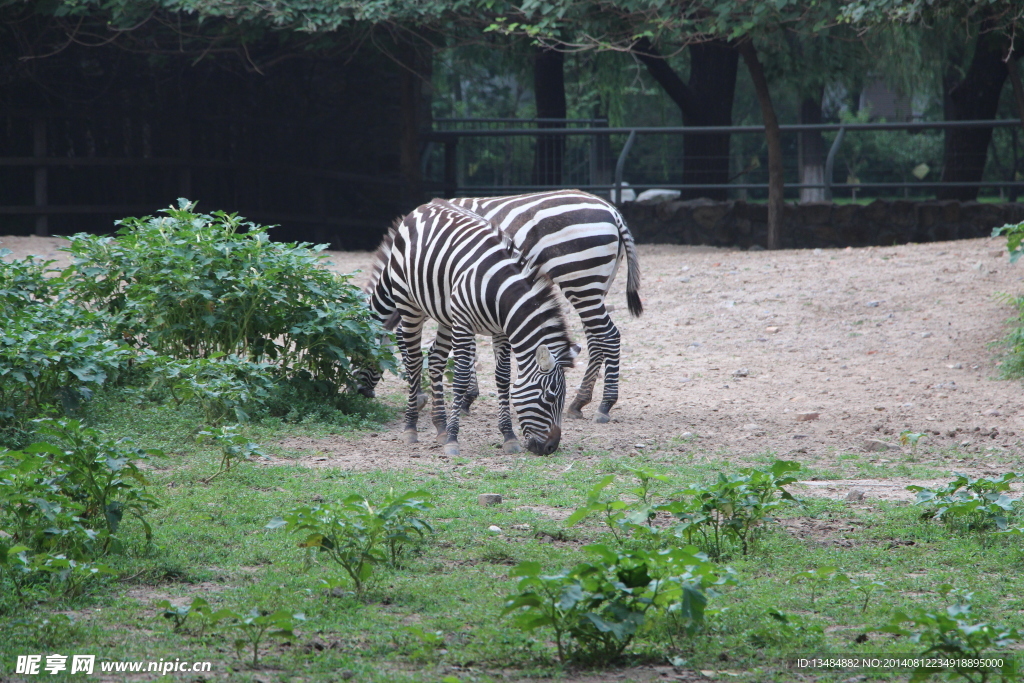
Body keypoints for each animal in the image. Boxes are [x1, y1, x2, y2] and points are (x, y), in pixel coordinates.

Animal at [360, 187, 638, 421]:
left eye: (362, 353)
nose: (363, 394)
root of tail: (611, 209)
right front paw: (466, 396)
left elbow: (413, 340)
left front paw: (440, 397)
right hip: (594, 287)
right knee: (596, 338)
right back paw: (579, 402)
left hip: (581, 280)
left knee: (609, 336)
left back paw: (604, 405)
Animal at [366, 197, 577, 456]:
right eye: (549, 397)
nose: (550, 448)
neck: (499, 292)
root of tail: (424, 206)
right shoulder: (464, 325)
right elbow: (461, 377)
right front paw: (453, 440)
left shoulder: (501, 331)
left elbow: (503, 377)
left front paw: (508, 436)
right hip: (410, 305)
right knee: (415, 361)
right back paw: (411, 428)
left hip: (445, 314)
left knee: (435, 359)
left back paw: (440, 427)